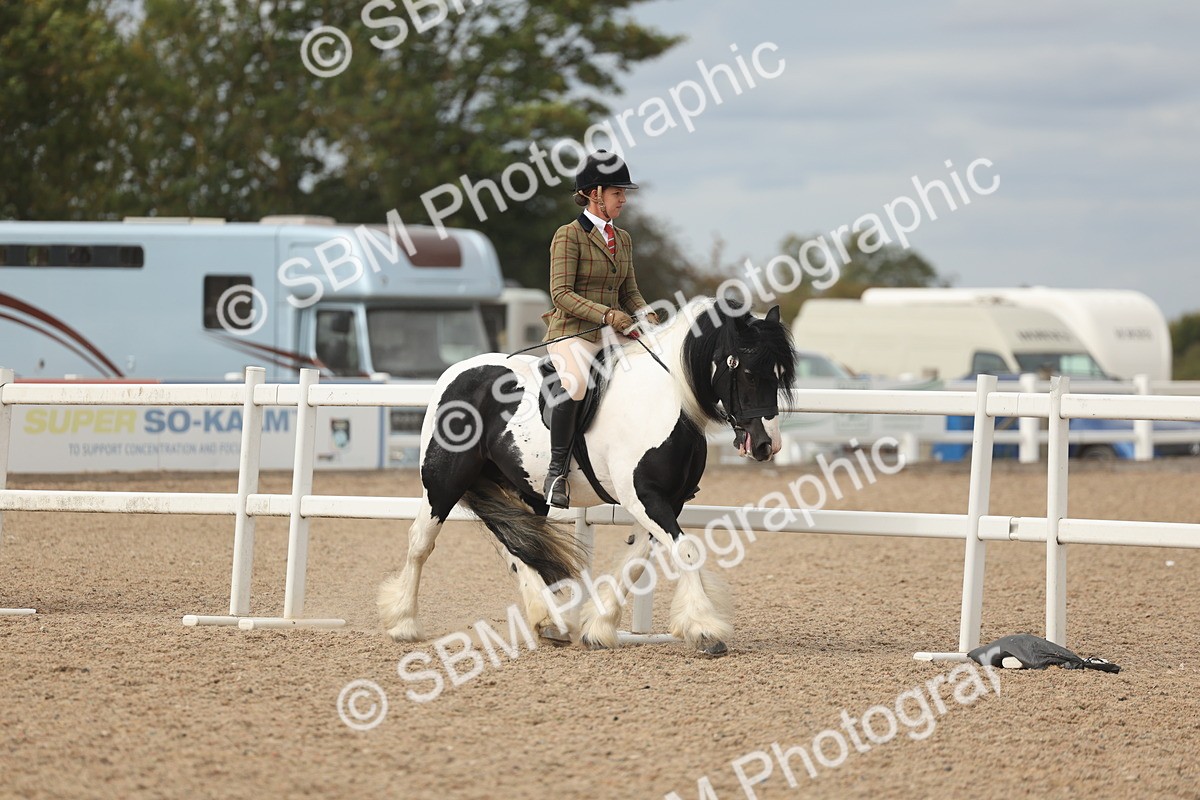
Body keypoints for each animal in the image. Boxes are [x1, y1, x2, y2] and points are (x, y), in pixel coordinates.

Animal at [377, 296, 795, 656]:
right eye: (747, 371)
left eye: (778, 374)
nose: (766, 445)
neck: (664, 400)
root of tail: (456, 372)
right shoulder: (644, 497)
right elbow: (686, 550)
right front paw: (706, 630)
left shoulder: (666, 501)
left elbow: (637, 561)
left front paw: (599, 628)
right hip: (443, 481)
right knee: (421, 542)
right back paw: (404, 623)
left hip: (524, 489)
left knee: (516, 546)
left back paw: (549, 622)